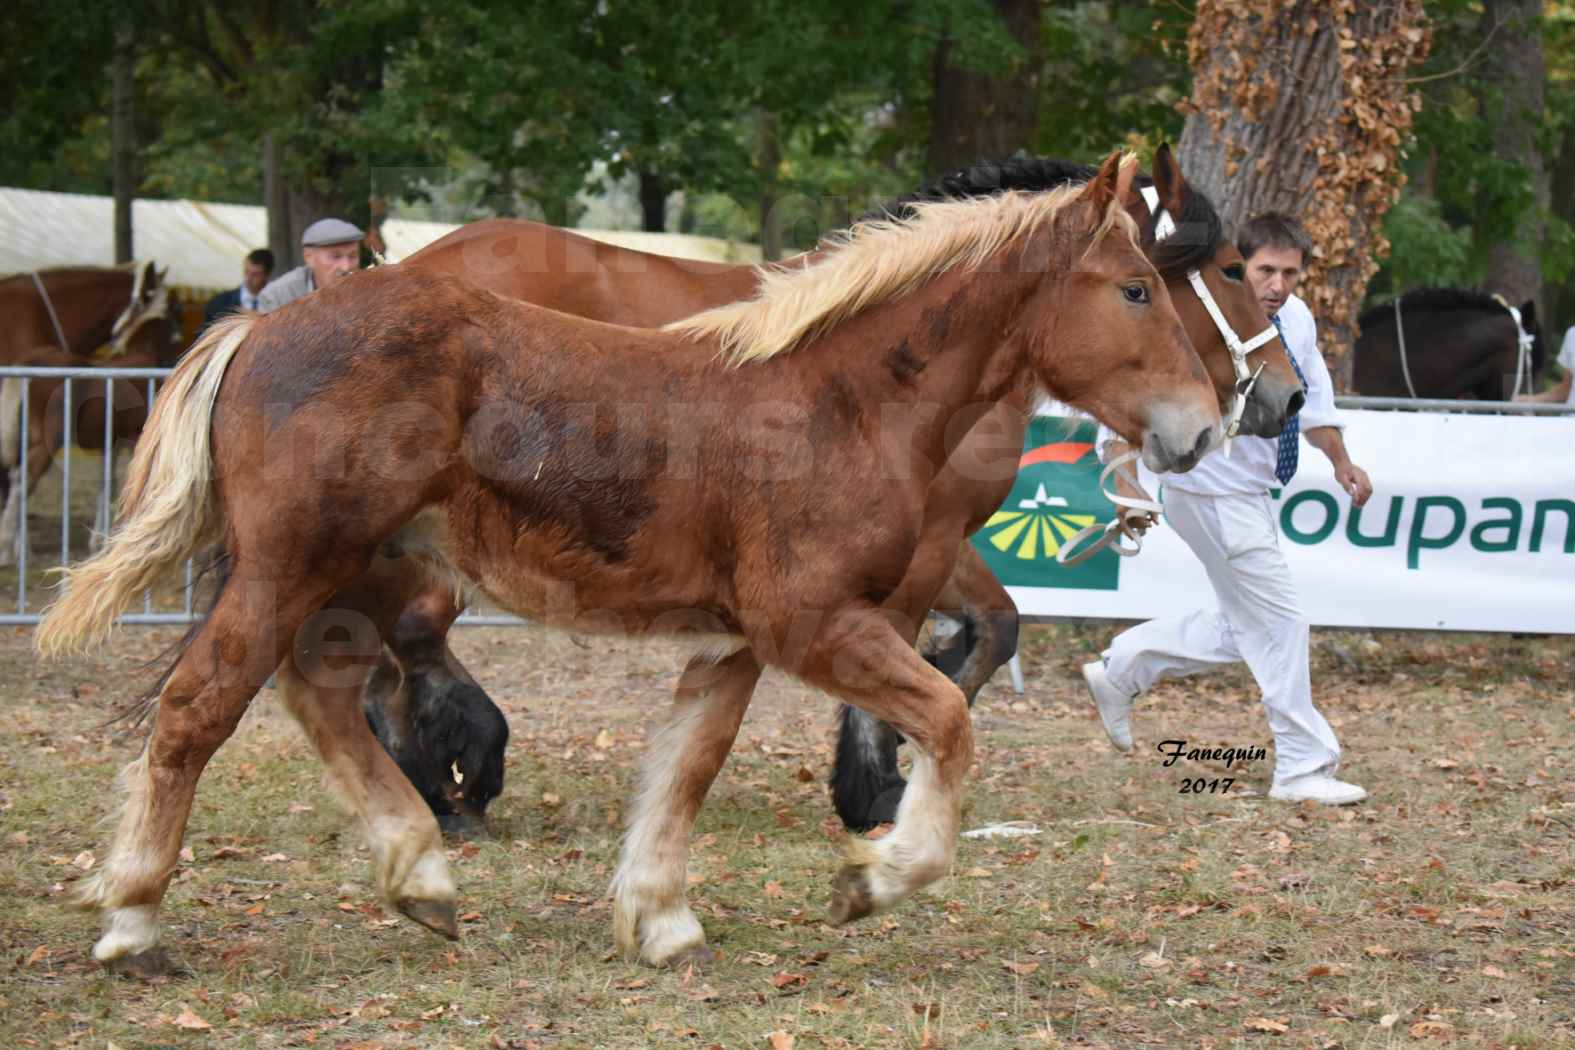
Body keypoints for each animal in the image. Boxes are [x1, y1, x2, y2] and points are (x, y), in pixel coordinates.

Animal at [0, 281, 180, 566]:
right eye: (176, 319)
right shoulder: (133, 439)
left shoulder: (112, 442)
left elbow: (108, 483)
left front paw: (100, 539)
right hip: (45, 444)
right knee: (21, 484)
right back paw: (10, 551)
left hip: (22, 439)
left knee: (14, 481)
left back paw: (20, 547)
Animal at [33, 155, 1215, 976]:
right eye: (1137, 289)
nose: (1206, 425)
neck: (839, 401)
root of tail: (256, 333)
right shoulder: (813, 625)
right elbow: (950, 718)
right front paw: (872, 880)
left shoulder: (736, 642)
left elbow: (688, 764)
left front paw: (661, 918)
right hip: (293, 568)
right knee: (198, 708)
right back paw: (133, 926)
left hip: (365, 579)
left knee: (323, 692)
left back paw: (423, 873)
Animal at [360, 145, 1304, 831]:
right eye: (1227, 269)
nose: (1285, 397)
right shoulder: (921, 547)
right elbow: (948, 646)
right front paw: (874, 784)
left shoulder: (929, 541)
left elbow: (990, 629)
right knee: (407, 636)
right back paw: (457, 770)